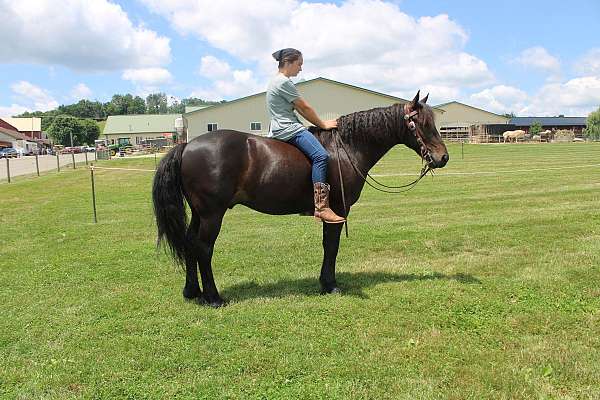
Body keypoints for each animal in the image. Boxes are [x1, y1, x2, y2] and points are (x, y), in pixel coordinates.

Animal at [152, 92, 448, 308]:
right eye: (422, 124)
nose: (443, 157)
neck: (347, 147)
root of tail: (187, 146)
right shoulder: (337, 210)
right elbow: (332, 247)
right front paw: (329, 284)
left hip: (199, 214)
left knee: (190, 244)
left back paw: (192, 291)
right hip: (212, 214)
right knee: (203, 248)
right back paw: (213, 297)